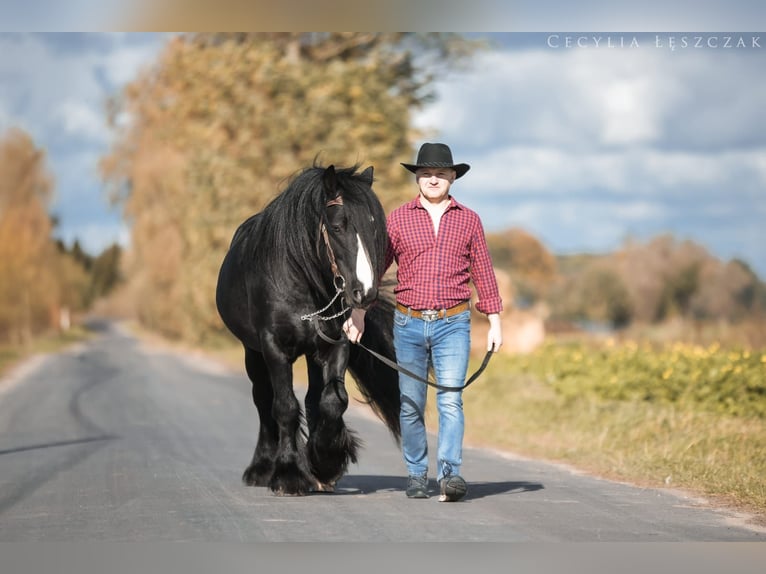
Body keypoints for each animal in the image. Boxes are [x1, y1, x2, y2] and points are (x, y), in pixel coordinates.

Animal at [213, 164, 400, 498]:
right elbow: (285, 406)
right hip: (253, 353)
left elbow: (332, 401)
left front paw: (325, 462)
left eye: (374, 227)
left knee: (314, 400)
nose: (365, 293)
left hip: (313, 355)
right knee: (263, 400)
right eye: (337, 226)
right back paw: (261, 468)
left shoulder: (335, 345)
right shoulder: (273, 348)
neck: (301, 283)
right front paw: (288, 474)